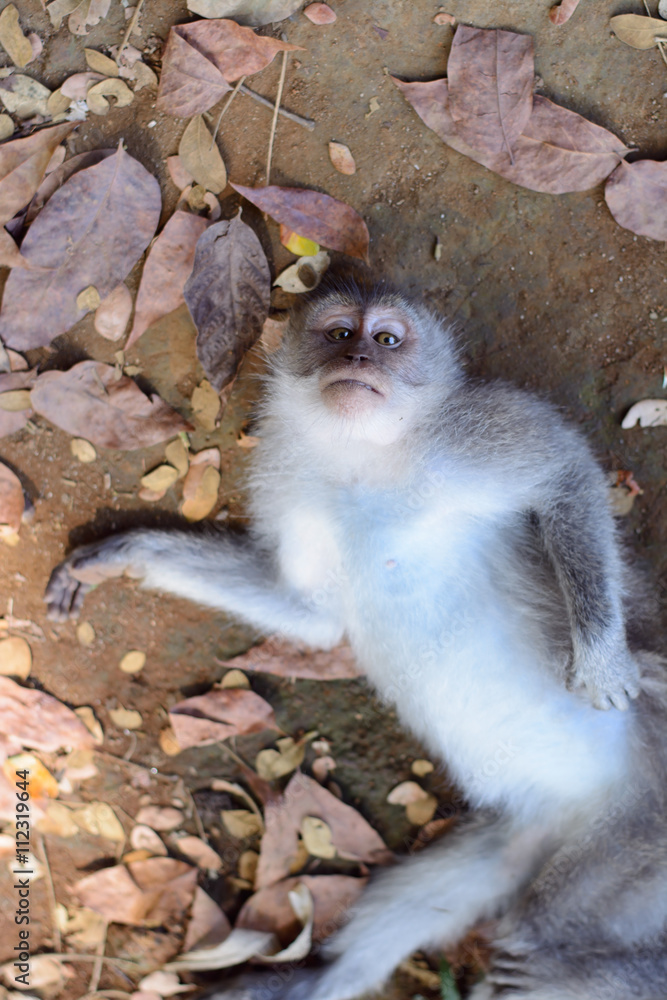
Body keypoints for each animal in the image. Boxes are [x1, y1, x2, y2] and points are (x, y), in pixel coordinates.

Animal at [46, 279, 667, 1000]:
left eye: (388, 339)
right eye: (340, 333)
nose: (360, 360)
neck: (362, 458)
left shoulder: (478, 429)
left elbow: (565, 477)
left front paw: (601, 657)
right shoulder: (291, 491)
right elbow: (310, 613)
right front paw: (126, 555)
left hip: (636, 835)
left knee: (545, 934)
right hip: (538, 833)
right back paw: (311, 981)